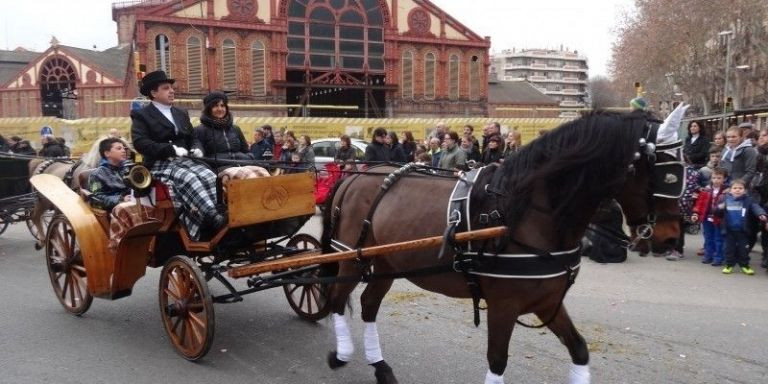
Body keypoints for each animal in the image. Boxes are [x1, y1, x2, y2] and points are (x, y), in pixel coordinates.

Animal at [320, 111, 684, 384]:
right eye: (667, 174)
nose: (670, 237)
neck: (526, 214)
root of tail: (356, 176)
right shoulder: (503, 305)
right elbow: (497, 360)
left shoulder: (547, 302)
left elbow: (579, 349)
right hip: (351, 258)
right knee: (338, 299)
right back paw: (341, 353)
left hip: (387, 264)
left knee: (368, 305)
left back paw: (380, 367)